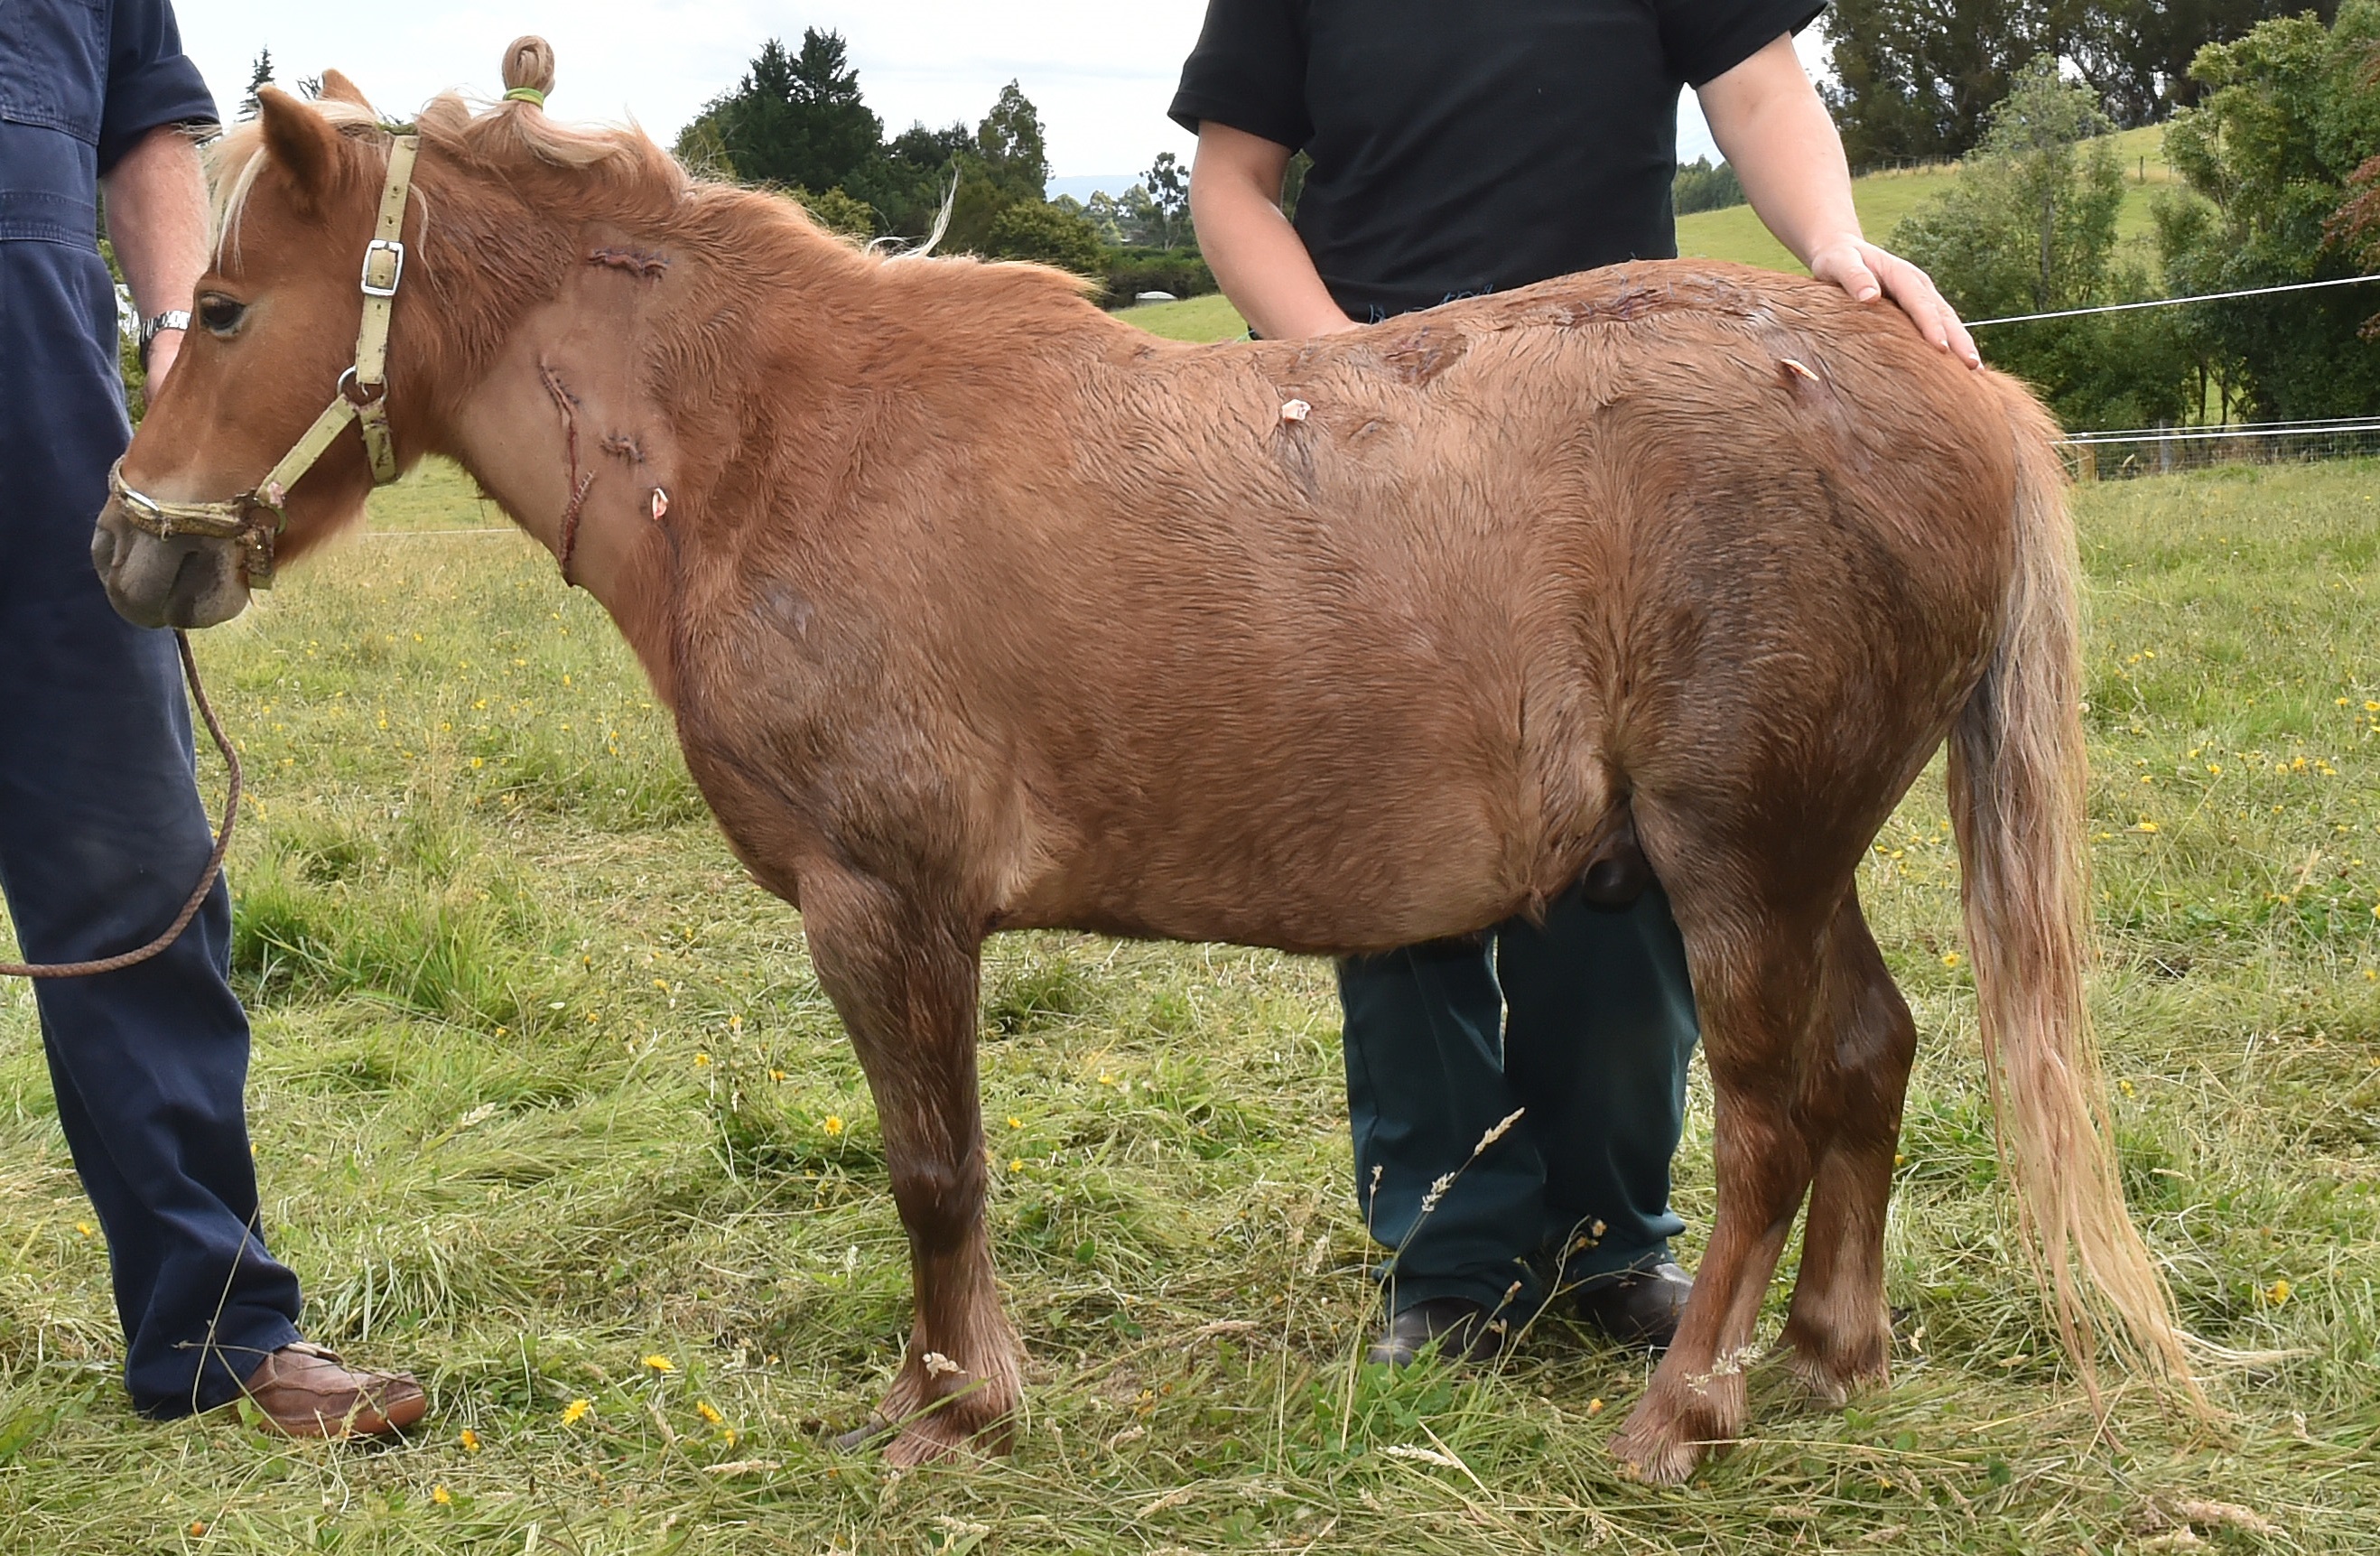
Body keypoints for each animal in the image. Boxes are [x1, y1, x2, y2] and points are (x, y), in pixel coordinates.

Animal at [102, 49, 2199, 1484]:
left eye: (225, 306)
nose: (130, 546)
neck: (777, 438)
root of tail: (1936, 380)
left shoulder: (886, 906)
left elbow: (932, 1167)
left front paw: (953, 1406)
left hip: (1738, 864)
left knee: (1770, 1111)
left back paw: (1688, 1407)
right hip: (1793, 861)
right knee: (1870, 1055)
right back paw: (1834, 1352)